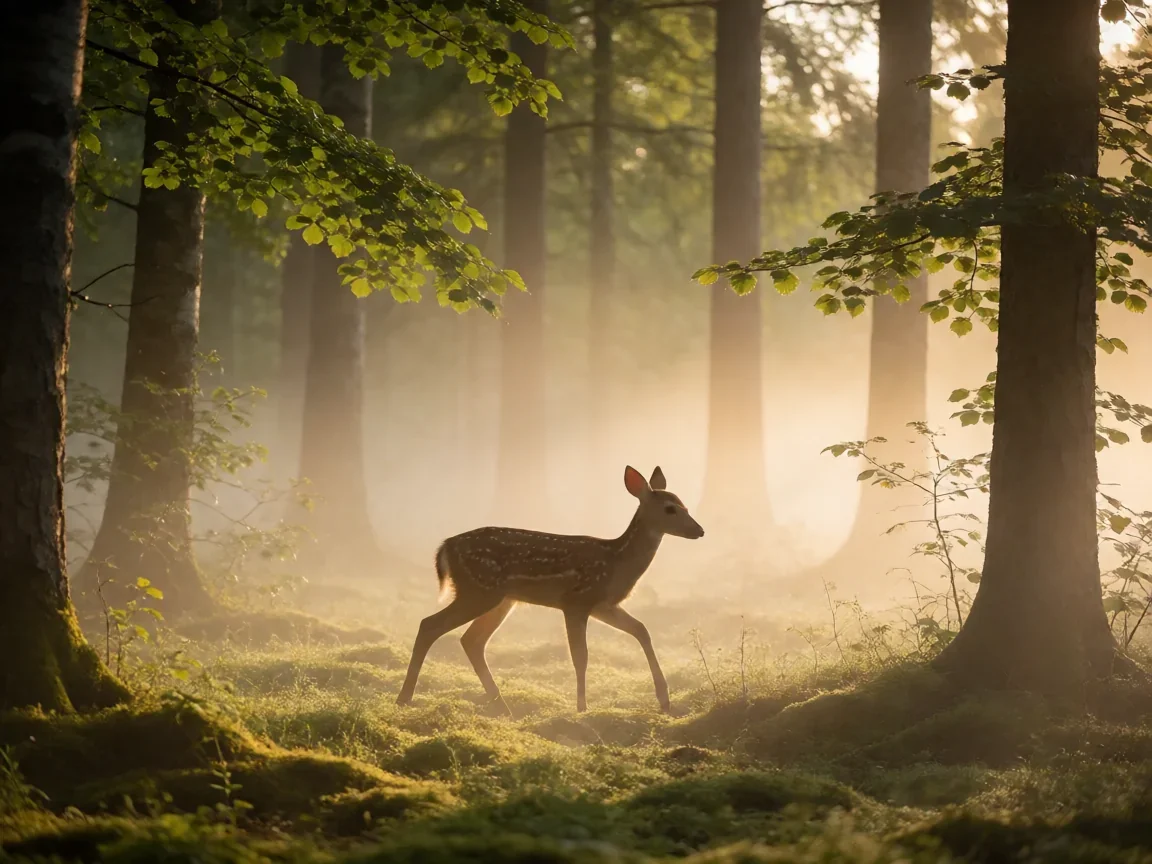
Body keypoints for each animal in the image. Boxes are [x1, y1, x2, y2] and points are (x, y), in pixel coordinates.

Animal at [395, 465, 704, 713]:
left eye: (686, 506)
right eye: (670, 508)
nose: (700, 531)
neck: (617, 561)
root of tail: (445, 548)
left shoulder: (603, 606)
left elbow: (642, 630)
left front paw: (664, 700)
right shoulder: (576, 600)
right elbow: (581, 656)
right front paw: (582, 708)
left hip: (500, 598)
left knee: (471, 640)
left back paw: (502, 707)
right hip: (479, 589)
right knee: (430, 625)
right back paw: (405, 698)